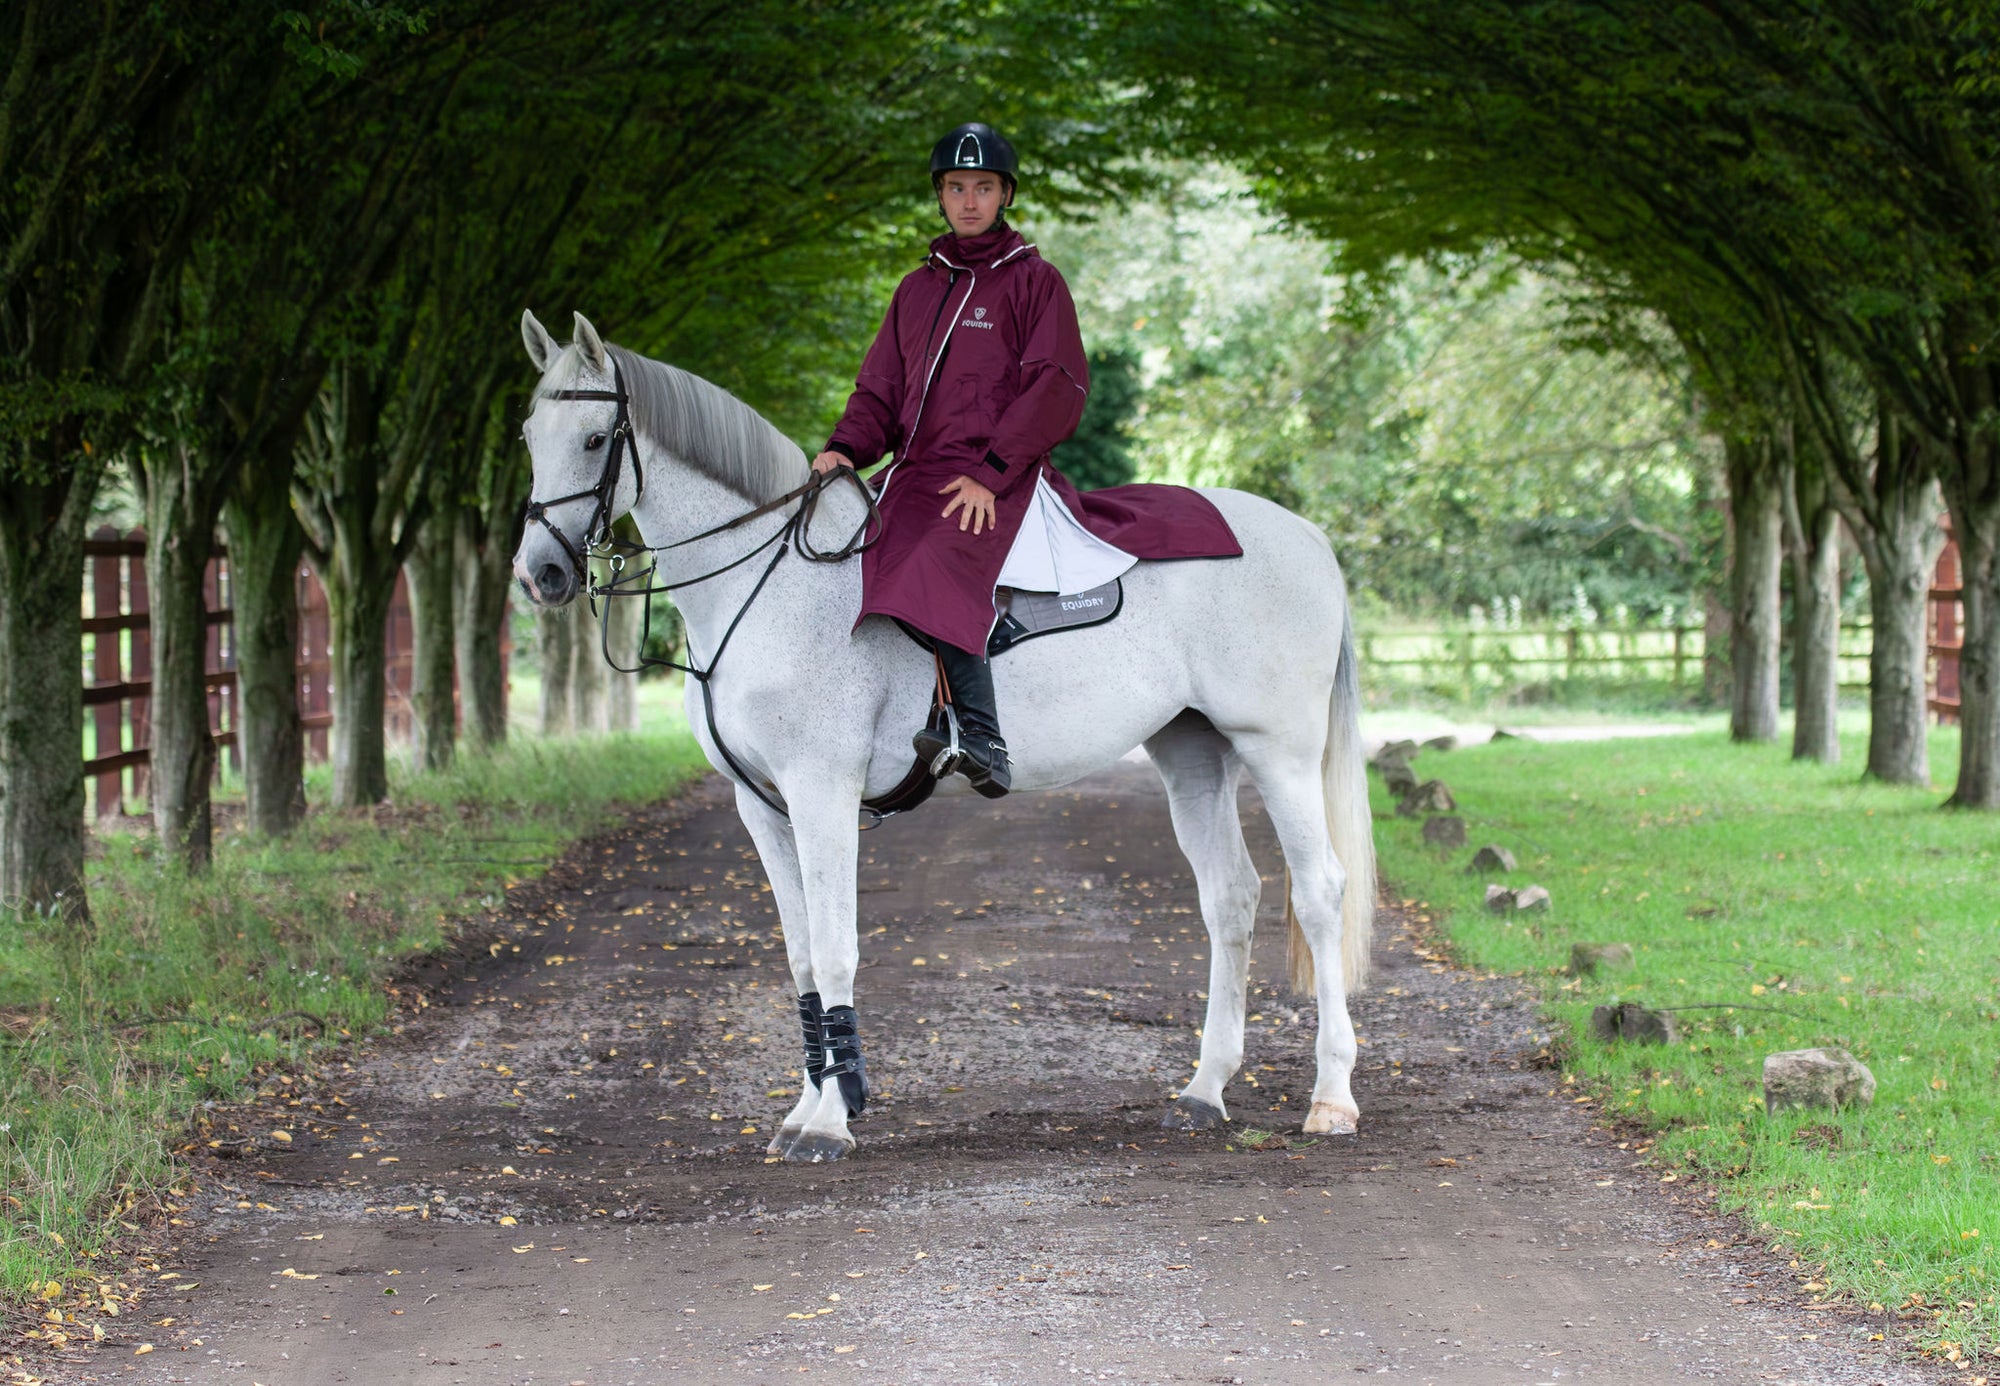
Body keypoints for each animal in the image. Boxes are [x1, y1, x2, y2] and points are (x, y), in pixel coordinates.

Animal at [512, 310, 1376, 1160]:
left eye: (595, 438)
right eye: (527, 434)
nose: (539, 575)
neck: (772, 586)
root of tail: (1305, 537)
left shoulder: (821, 792)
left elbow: (836, 947)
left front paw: (830, 1121)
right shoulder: (761, 806)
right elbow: (801, 955)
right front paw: (810, 1105)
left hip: (1278, 750)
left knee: (1320, 892)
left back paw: (1332, 1096)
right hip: (1192, 752)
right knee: (1231, 897)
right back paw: (1205, 1089)